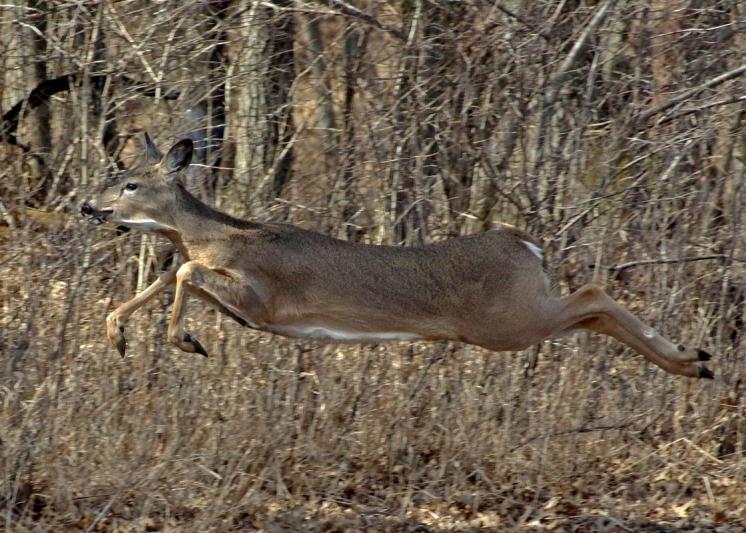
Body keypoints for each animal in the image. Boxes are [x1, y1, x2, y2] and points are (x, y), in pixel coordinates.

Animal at [81, 134, 714, 379]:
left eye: (130, 183)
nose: (89, 206)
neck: (217, 236)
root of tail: (523, 244)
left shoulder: (266, 301)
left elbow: (184, 270)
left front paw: (185, 340)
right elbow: (165, 275)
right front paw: (117, 334)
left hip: (505, 320)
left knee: (593, 294)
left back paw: (692, 359)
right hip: (515, 315)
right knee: (594, 310)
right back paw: (694, 362)